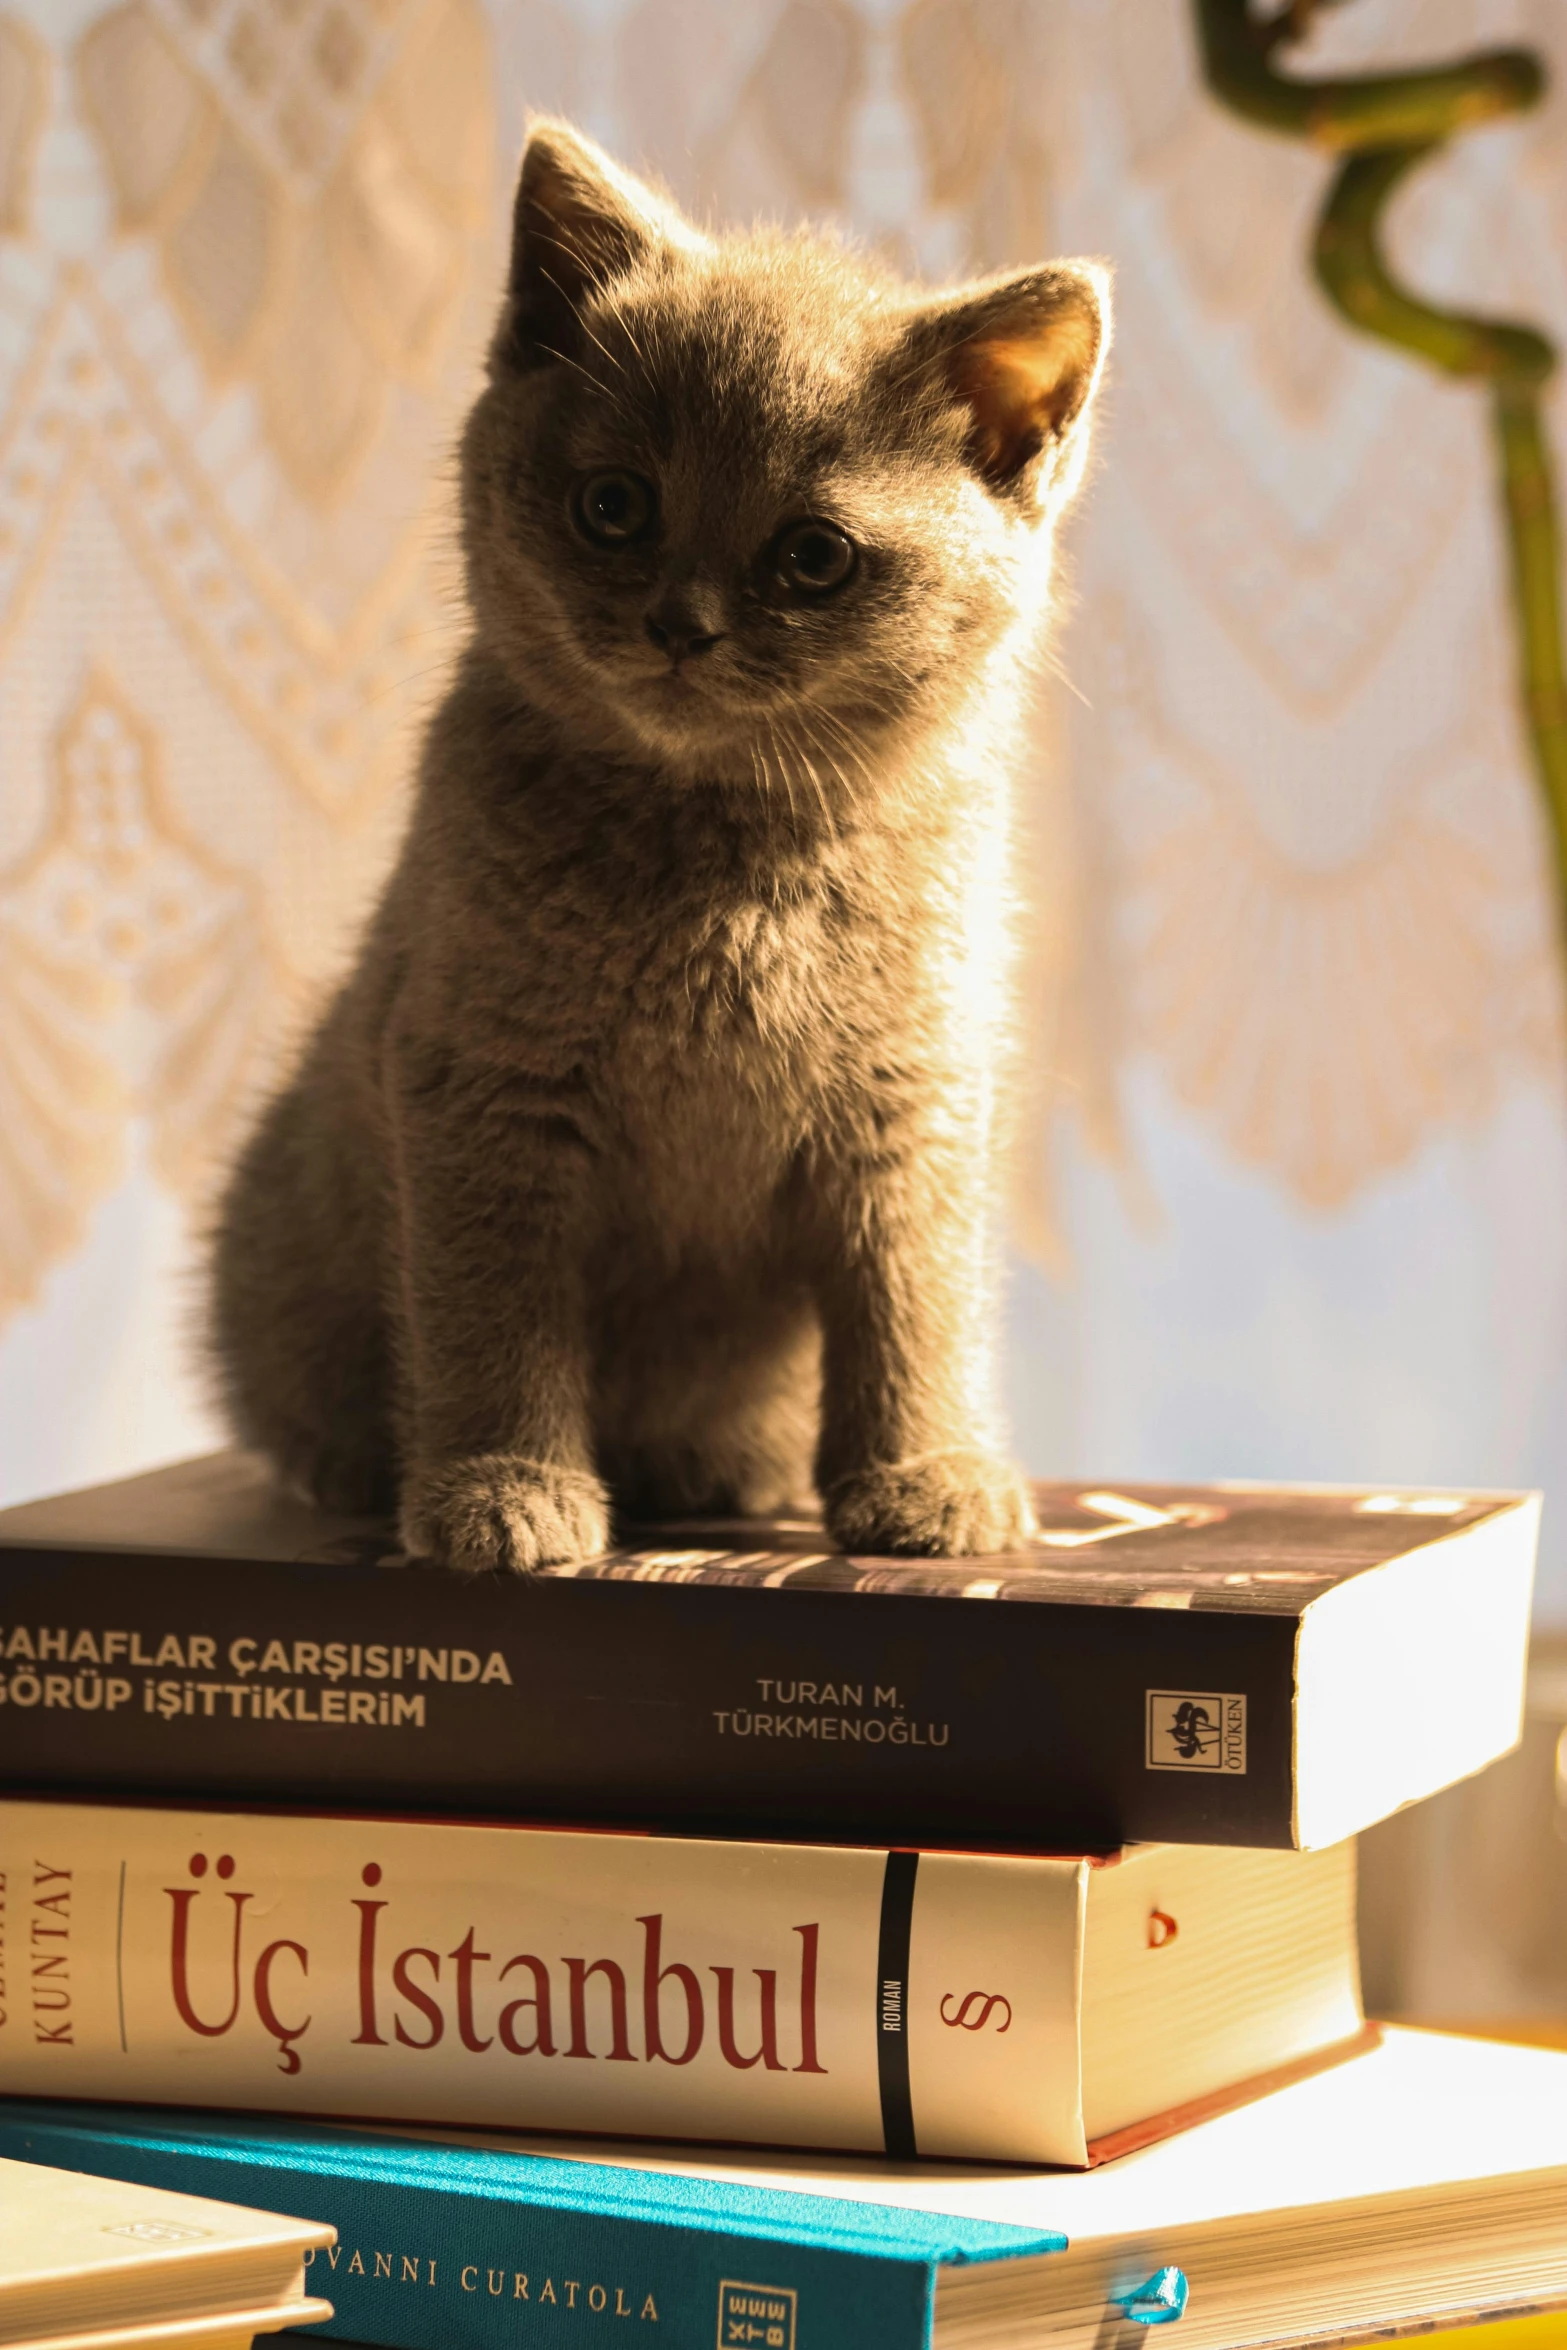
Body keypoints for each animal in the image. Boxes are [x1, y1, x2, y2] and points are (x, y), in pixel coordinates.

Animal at [207, 119, 1108, 1569]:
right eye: (615, 506)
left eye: (813, 556)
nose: (681, 624)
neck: (723, 855)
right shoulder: (480, 1082)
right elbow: (493, 1311)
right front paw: (502, 1490)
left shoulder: (913, 1095)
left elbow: (912, 1296)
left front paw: (926, 1476)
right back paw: (356, 1469)